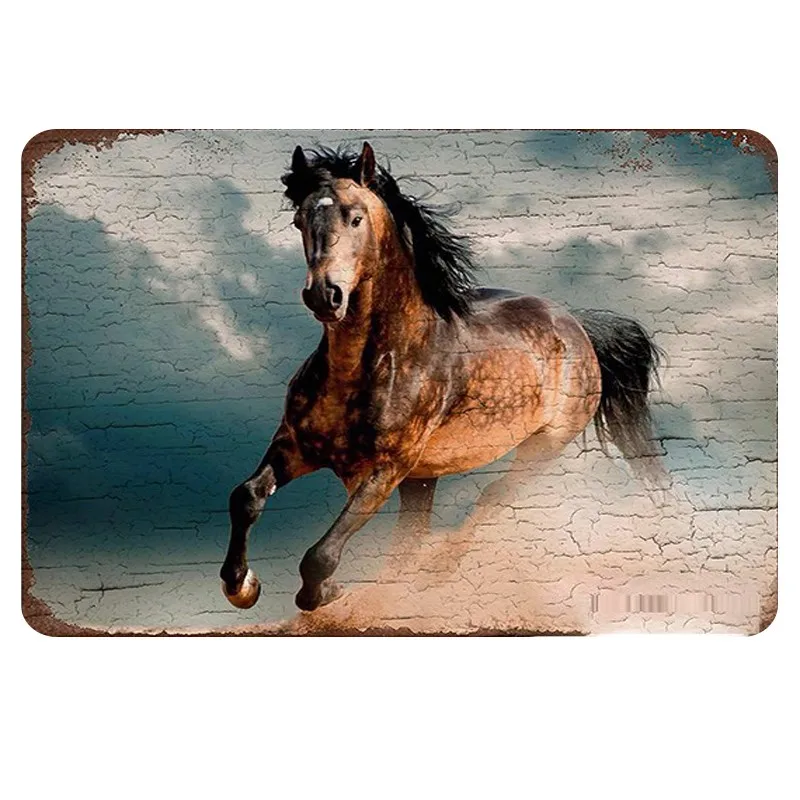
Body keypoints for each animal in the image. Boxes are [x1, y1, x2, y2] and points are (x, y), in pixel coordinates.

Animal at [219, 142, 664, 613]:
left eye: (355, 217)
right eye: (299, 220)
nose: (325, 294)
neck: (365, 367)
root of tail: (577, 324)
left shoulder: (385, 470)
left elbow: (320, 556)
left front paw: (326, 593)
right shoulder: (296, 446)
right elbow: (246, 497)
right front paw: (242, 586)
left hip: (541, 448)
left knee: (488, 500)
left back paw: (435, 572)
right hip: (424, 478)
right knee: (412, 538)